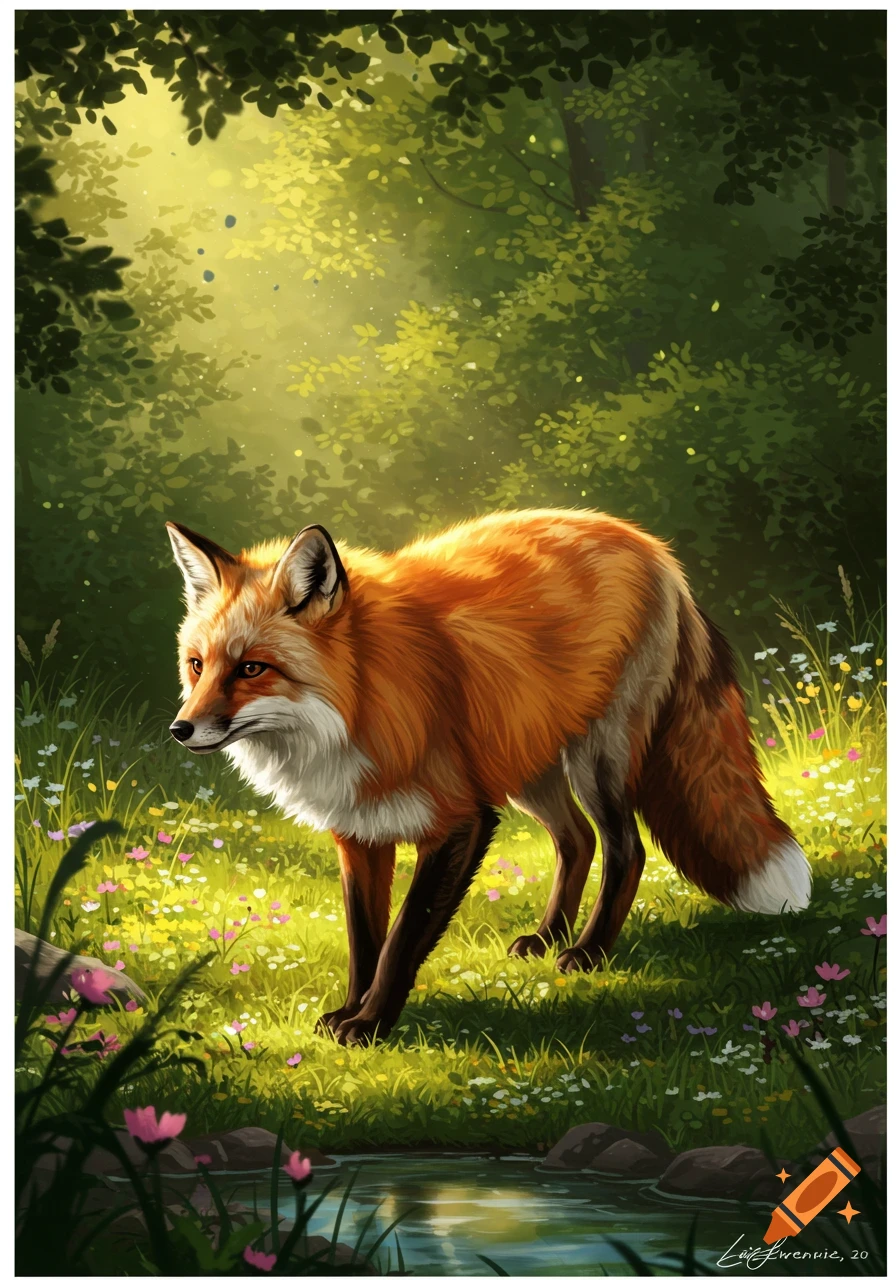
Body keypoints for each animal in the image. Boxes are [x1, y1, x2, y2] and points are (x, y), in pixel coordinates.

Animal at [166, 509, 811, 1045]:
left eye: (252, 669)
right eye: (197, 665)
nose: (180, 729)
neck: (362, 695)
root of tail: (652, 547)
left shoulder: (461, 819)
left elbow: (402, 939)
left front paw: (370, 1025)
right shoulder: (359, 832)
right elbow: (364, 939)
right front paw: (351, 1009)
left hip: (596, 761)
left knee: (625, 848)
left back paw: (587, 953)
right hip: (527, 765)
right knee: (576, 840)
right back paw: (548, 939)